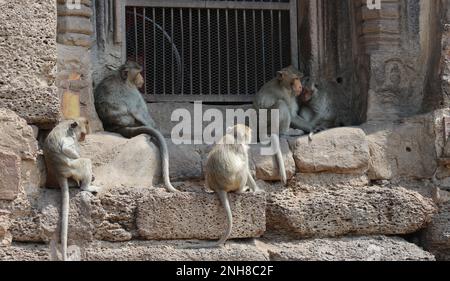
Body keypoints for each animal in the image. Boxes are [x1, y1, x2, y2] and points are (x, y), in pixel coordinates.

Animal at [42, 117, 101, 260]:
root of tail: (59, 173)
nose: (82, 139)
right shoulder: (69, 136)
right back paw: (86, 187)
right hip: (72, 167)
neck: (69, 123)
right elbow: (67, 149)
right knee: (85, 161)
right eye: (83, 134)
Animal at [93, 60, 178, 192]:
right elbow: (140, 112)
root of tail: (115, 127)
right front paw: (156, 128)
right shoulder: (133, 92)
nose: (142, 79)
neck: (122, 78)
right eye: (138, 73)